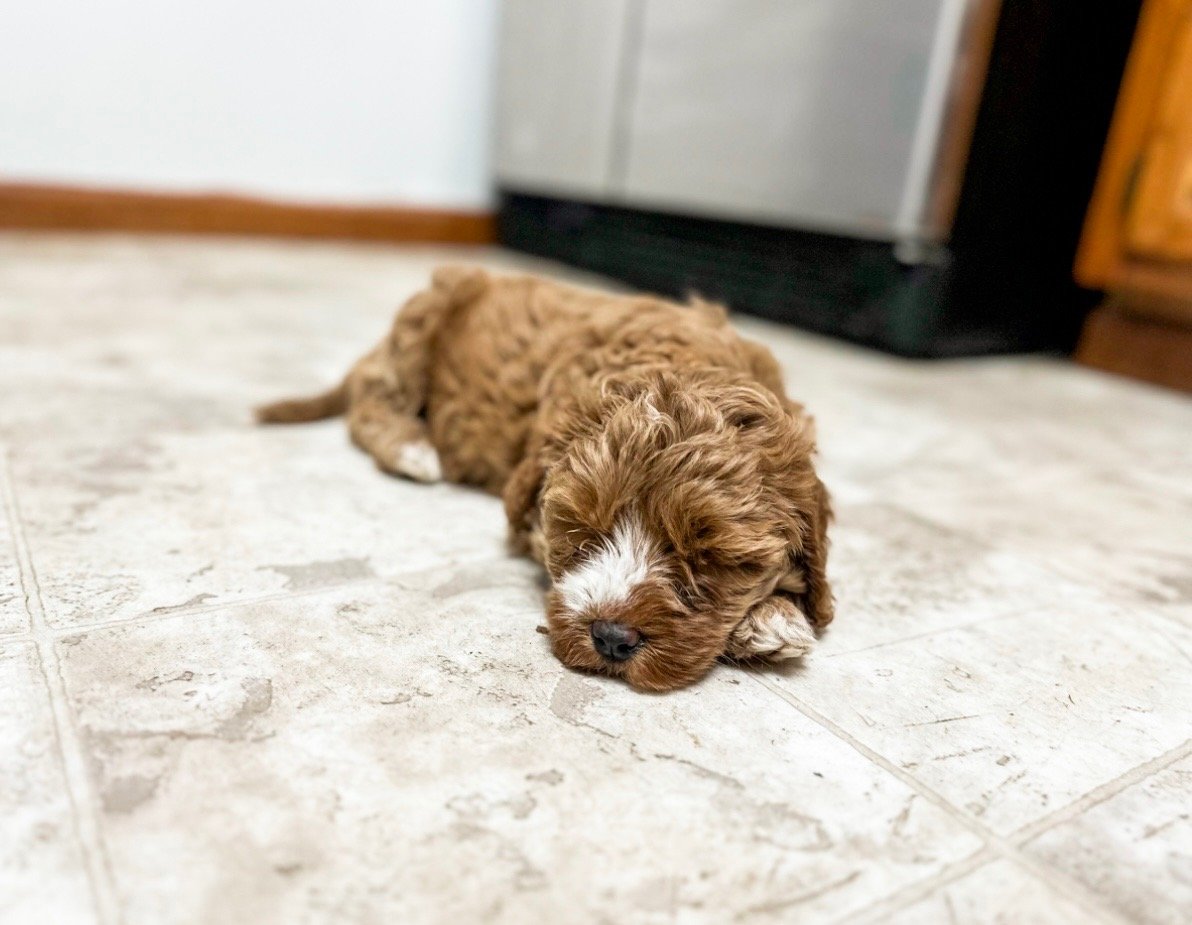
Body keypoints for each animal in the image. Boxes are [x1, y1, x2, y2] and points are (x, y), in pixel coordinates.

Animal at [258, 265, 839, 686]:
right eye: (582, 528)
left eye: (709, 555)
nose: (611, 638)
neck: (681, 364)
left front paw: (774, 618)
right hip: (416, 333)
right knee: (371, 402)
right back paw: (414, 450)